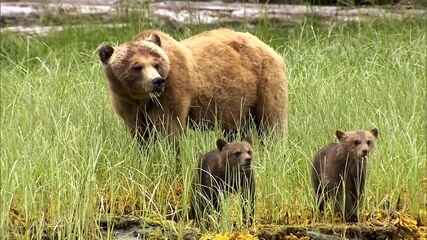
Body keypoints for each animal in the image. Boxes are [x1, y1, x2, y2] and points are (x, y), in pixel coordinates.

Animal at [98, 28, 290, 144]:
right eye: (136, 66)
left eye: (156, 63)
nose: (157, 81)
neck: (142, 98)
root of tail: (267, 46)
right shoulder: (126, 102)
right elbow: (140, 134)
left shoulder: (173, 90)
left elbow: (169, 129)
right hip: (240, 103)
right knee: (236, 130)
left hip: (266, 80)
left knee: (271, 122)